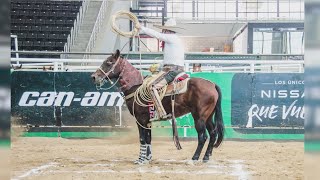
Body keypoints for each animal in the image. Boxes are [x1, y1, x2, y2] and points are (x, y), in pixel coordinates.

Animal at [91, 49, 224, 165]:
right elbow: (148, 138)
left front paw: (140, 160)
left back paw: (194, 159)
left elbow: (142, 138)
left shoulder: (140, 119)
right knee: (213, 133)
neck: (136, 86)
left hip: (199, 117)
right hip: (208, 116)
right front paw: (148, 158)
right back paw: (206, 157)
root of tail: (212, 84)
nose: (94, 76)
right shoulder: (147, 120)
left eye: (109, 62)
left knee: (203, 136)